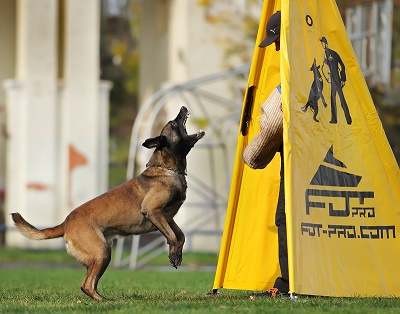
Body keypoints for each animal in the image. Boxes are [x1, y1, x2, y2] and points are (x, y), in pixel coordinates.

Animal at [10, 106, 205, 300]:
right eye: (173, 123)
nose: (183, 108)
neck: (167, 170)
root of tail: (66, 223)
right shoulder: (153, 211)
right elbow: (172, 236)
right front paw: (173, 255)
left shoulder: (168, 218)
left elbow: (181, 235)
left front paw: (177, 252)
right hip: (101, 252)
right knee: (86, 285)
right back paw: (103, 301)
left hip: (102, 255)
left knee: (90, 284)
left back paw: (103, 299)